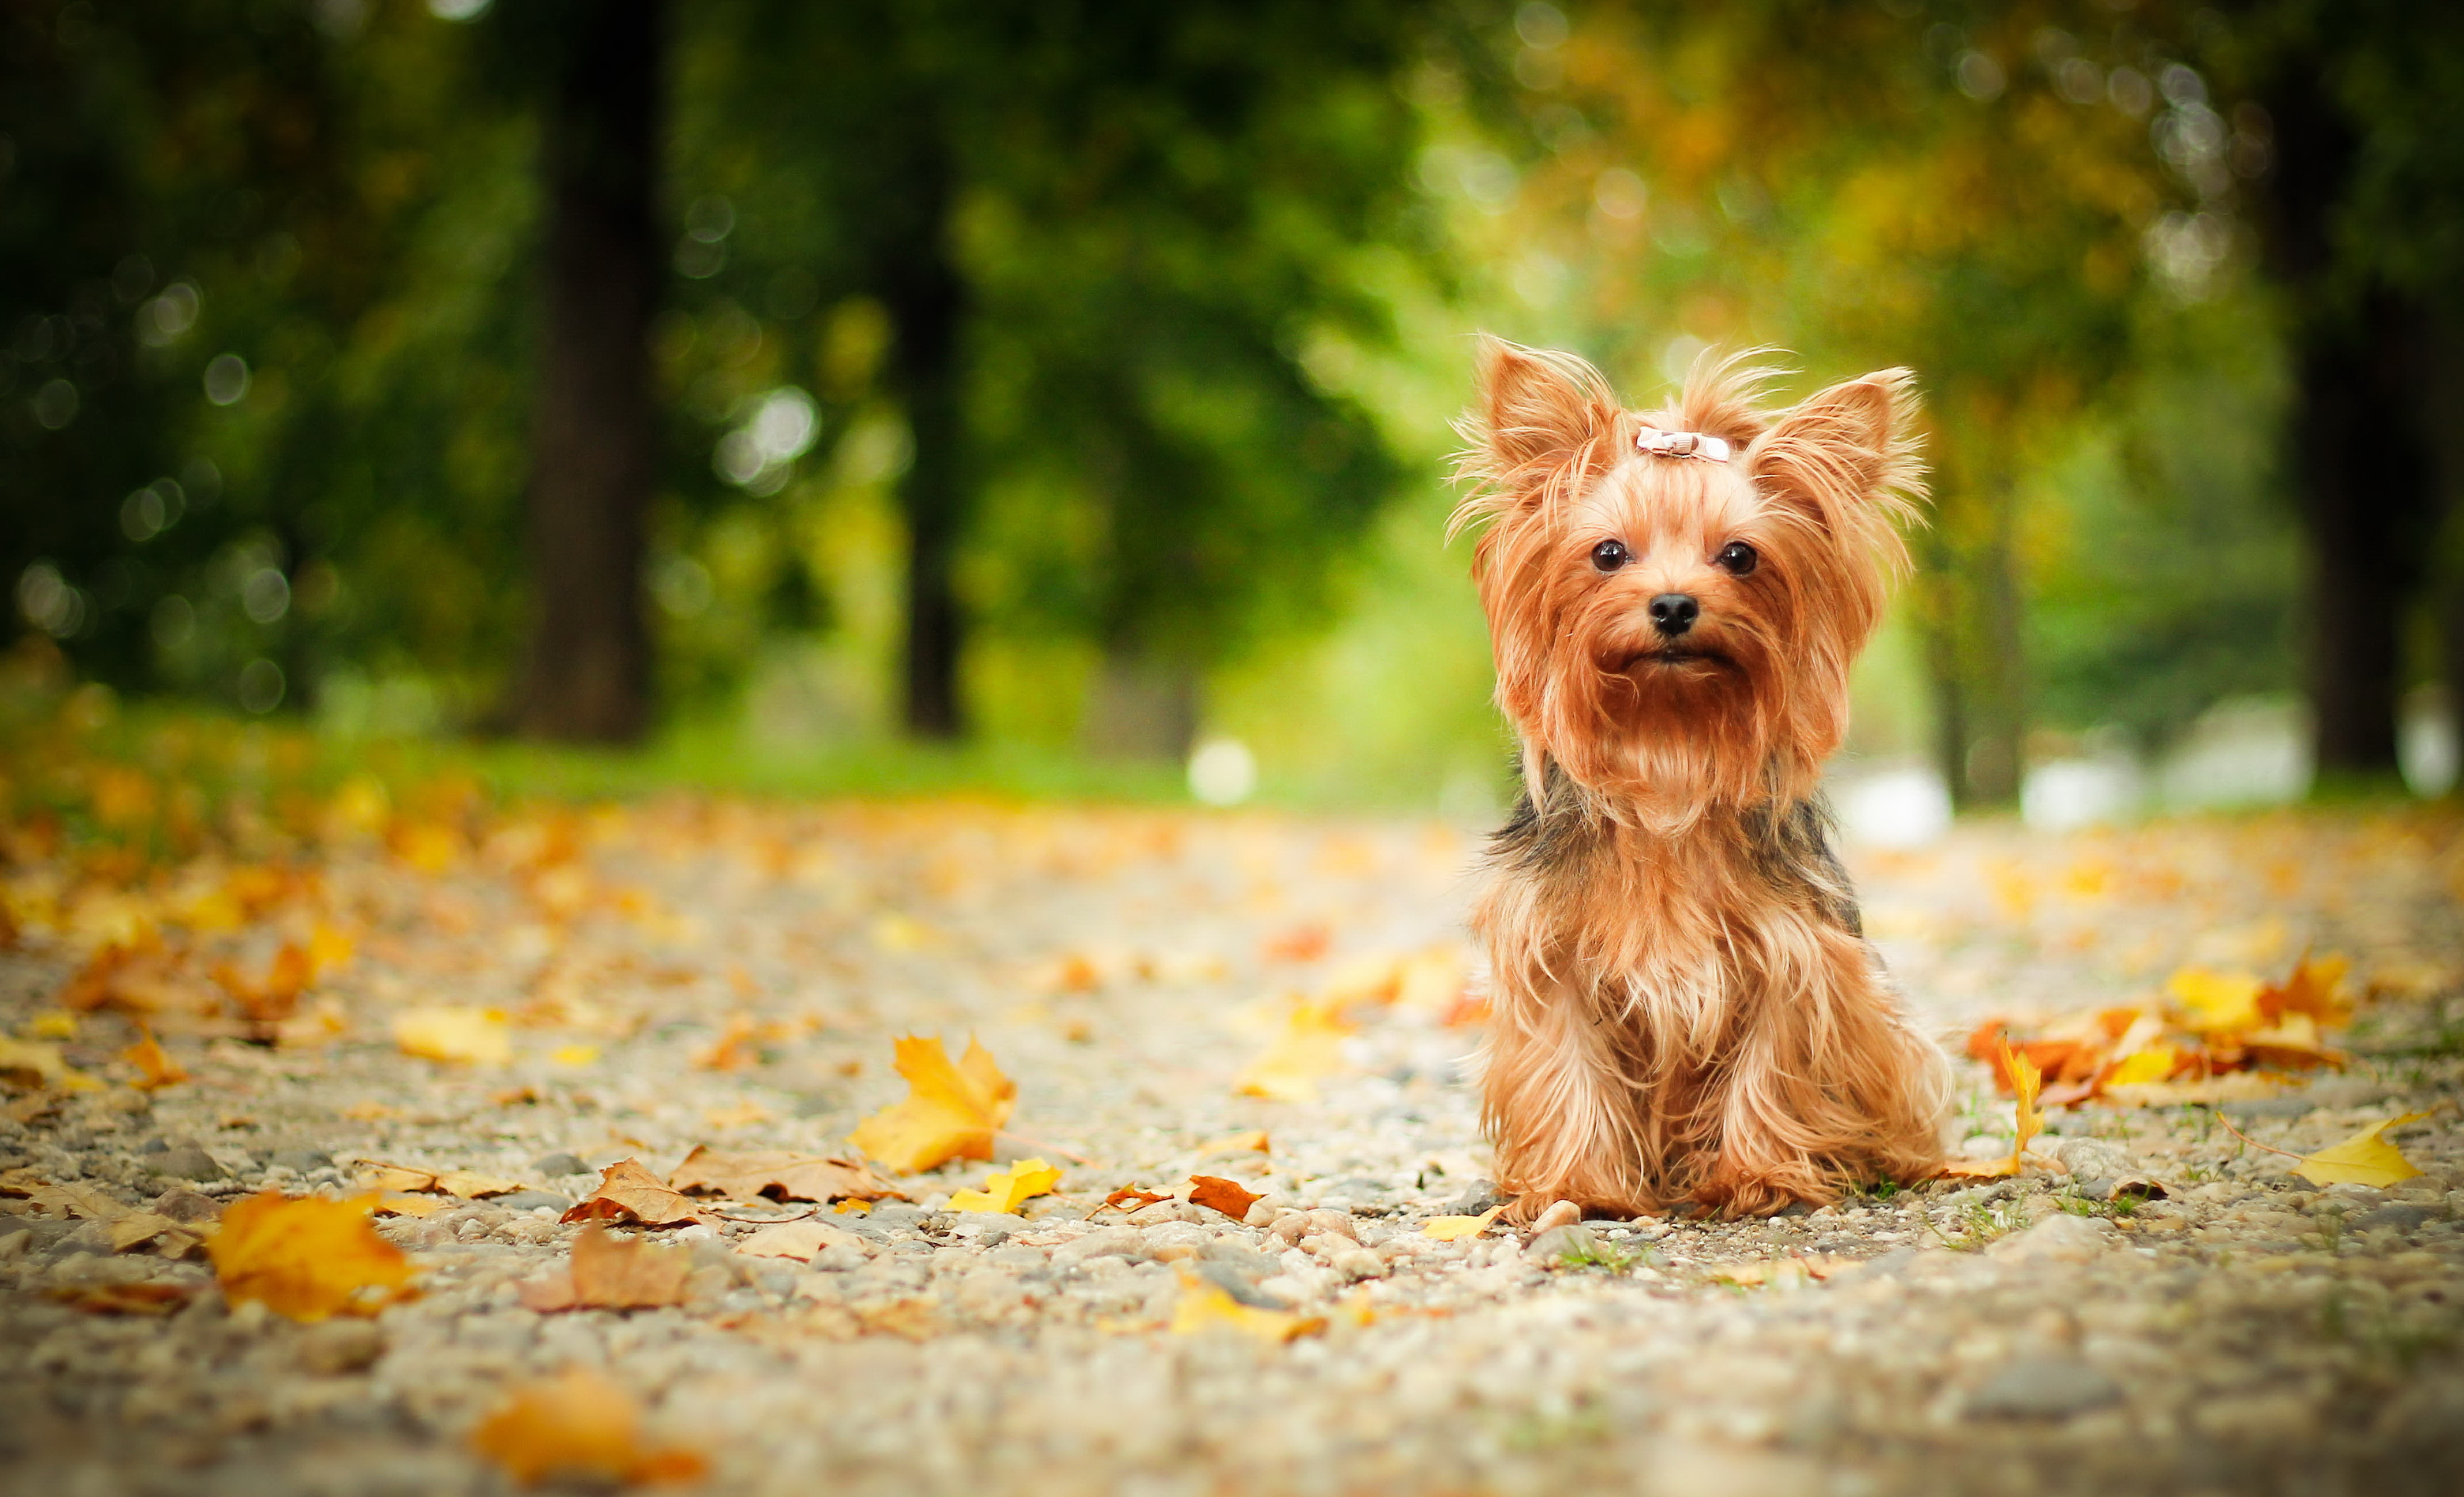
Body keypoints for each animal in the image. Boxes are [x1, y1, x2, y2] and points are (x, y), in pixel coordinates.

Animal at [1449, 337, 1951, 1216]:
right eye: (1607, 553)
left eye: (1740, 556)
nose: (1675, 604)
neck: (1667, 752)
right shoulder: (1552, 958)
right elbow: (1567, 1064)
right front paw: (1577, 1186)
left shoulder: (1794, 955)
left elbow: (1771, 1060)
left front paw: (1758, 1176)